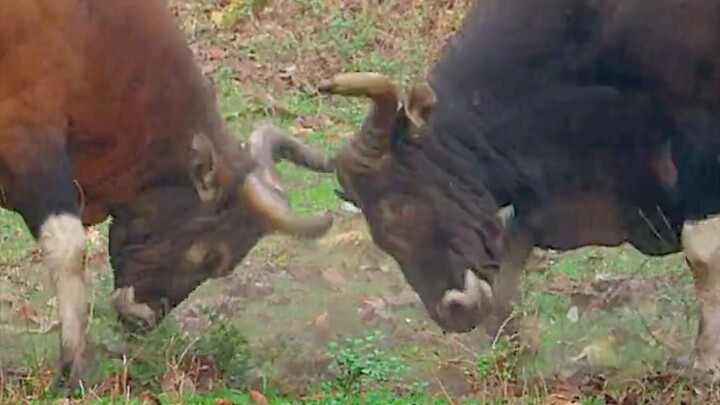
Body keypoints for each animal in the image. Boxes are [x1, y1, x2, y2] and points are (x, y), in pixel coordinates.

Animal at [0, 0, 334, 389]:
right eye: (213, 260)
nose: (144, 319)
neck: (92, 36)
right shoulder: (28, 142)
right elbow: (68, 248)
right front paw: (72, 366)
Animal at [308, 0, 720, 378]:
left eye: (398, 208)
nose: (452, 312)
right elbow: (513, 247)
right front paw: (510, 348)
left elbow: (703, 254)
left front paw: (705, 362)